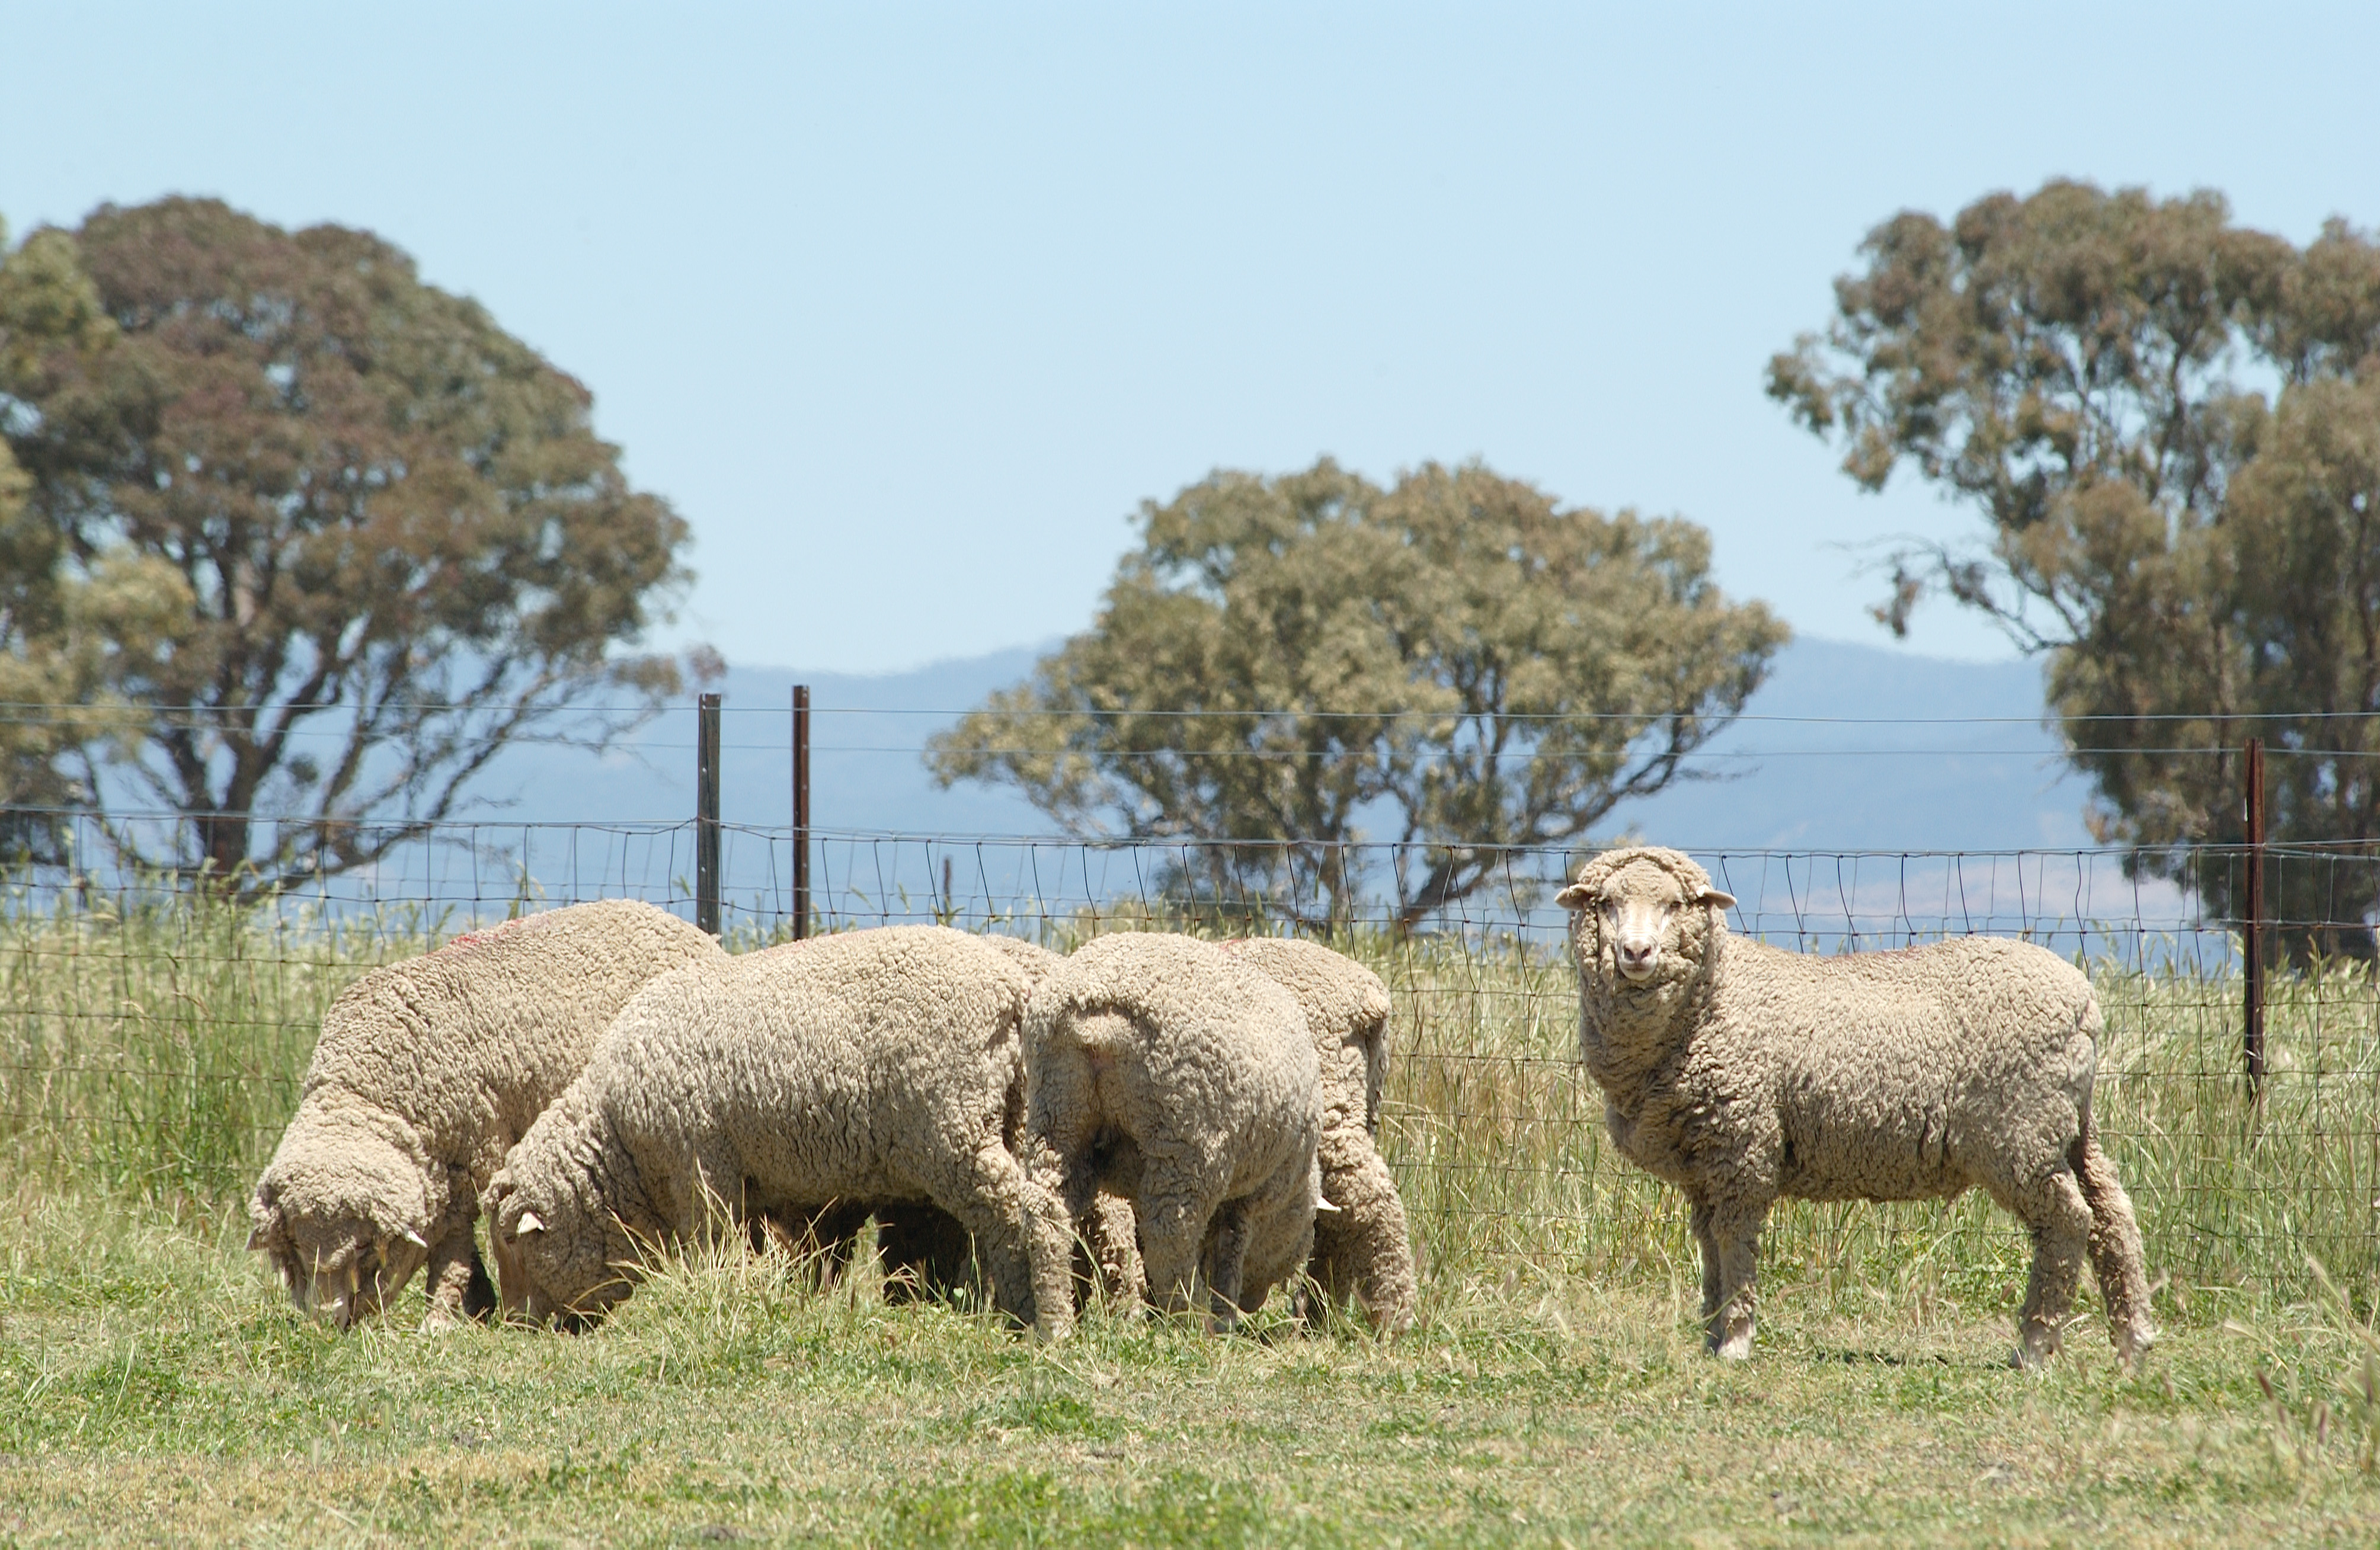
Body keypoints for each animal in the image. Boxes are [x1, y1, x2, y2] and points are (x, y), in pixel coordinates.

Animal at [247, 899, 724, 1329]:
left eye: (365, 1246)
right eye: (296, 1245)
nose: (328, 1321)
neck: (369, 1091)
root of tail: (680, 924)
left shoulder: (472, 1157)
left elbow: (455, 1249)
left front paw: (443, 1316)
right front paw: (477, 1302)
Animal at [483, 925, 1045, 1327]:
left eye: (512, 1241)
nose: (515, 1326)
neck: (620, 1134)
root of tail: (1013, 991)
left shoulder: (701, 1169)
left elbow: (711, 1252)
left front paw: (714, 1300)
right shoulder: (755, 1186)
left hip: (952, 1127)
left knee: (1011, 1208)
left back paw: (1025, 1311)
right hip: (1007, 1117)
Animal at [1020, 931, 1322, 1340]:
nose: (1255, 1301)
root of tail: (1097, 1015)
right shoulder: (1246, 1197)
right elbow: (1228, 1254)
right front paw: (1224, 1318)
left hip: (1058, 1109)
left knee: (1048, 1214)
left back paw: (1057, 1325)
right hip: (1188, 1137)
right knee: (1171, 1235)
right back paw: (1191, 1324)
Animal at [1221, 937, 1417, 1332]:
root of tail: (1371, 996)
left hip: (1326, 1092)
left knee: (1371, 1197)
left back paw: (1391, 1316)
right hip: (1364, 1096)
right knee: (1340, 1213)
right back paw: (1319, 1311)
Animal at [1554, 845, 2155, 1369]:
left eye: (1675, 904)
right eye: (1605, 903)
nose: (1636, 953)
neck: (1712, 998)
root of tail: (2085, 1000)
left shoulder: (1744, 1144)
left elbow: (1734, 1242)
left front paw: (1737, 1340)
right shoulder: (1703, 1163)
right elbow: (1708, 1249)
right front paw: (1711, 1331)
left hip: (2019, 1130)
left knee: (2068, 1221)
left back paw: (2035, 1345)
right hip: (2068, 1124)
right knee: (2111, 1214)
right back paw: (2132, 1342)